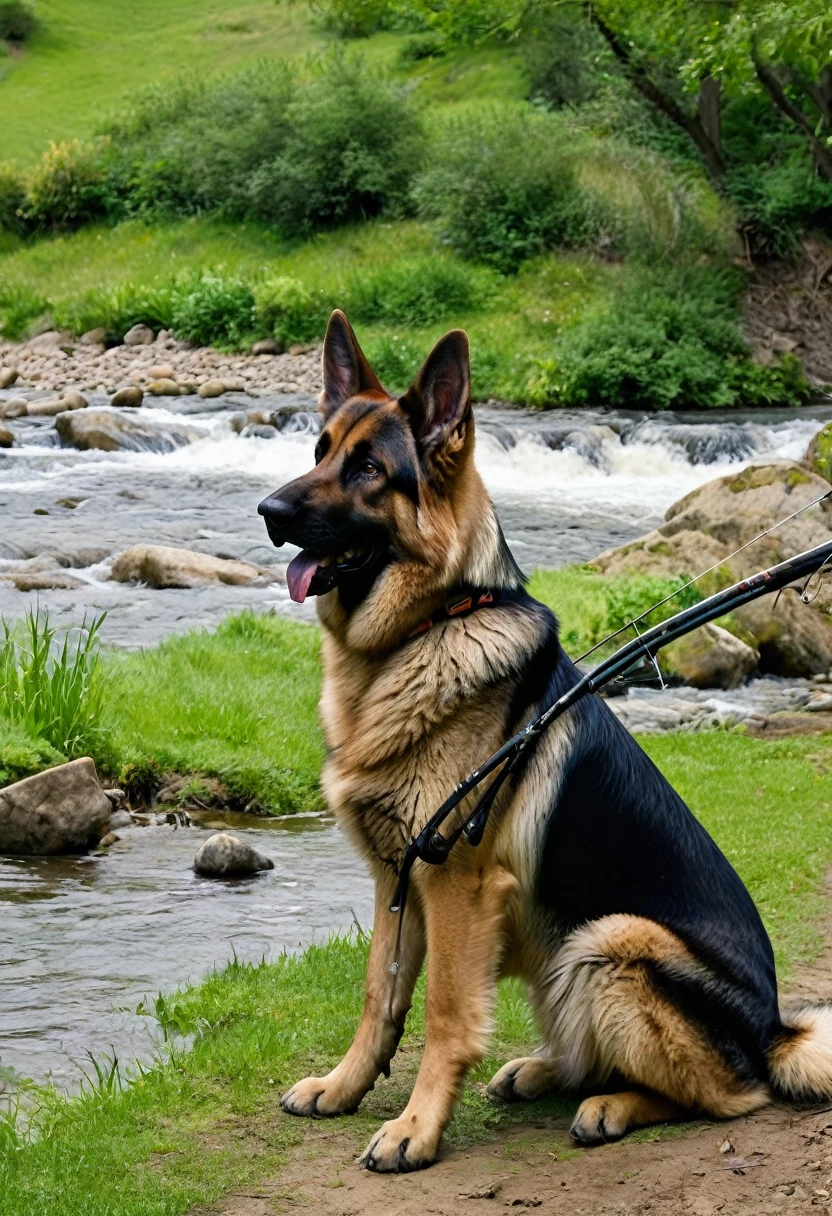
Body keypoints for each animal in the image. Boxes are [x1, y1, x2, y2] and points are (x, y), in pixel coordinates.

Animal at [256, 308, 832, 1172]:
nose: (267, 511)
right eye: (319, 451)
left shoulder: (454, 886)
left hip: (610, 940)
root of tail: (774, 1032)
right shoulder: (397, 880)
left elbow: (446, 1014)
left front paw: (416, 1128)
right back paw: (544, 1070)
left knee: (729, 1094)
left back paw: (614, 1105)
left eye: (368, 470)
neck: (429, 627)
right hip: (568, 958)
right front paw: (344, 1087)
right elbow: (379, 996)